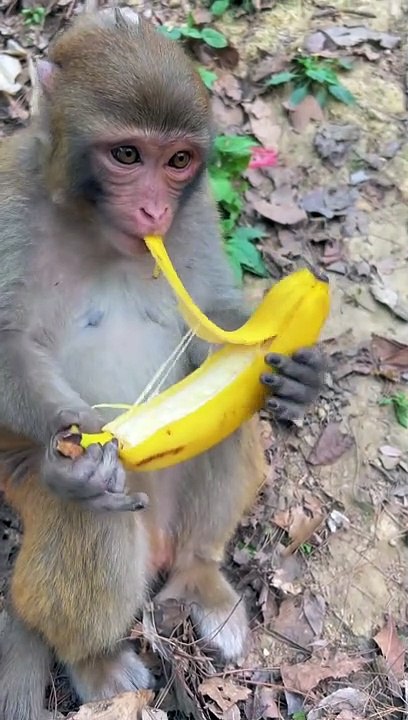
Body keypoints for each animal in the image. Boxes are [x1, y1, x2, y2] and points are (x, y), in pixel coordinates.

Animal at [0, 7, 326, 719]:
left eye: (178, 161)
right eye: (127, 155)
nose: (155, 210)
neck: (86, 218)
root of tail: (159, 549)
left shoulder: (195, 208)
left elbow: (212, 314)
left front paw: (301, 379)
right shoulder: (5, 205)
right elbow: (5, 342)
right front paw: (78, 438)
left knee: (228, 422)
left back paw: (202, 578)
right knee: (89, 512)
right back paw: (94, 658)